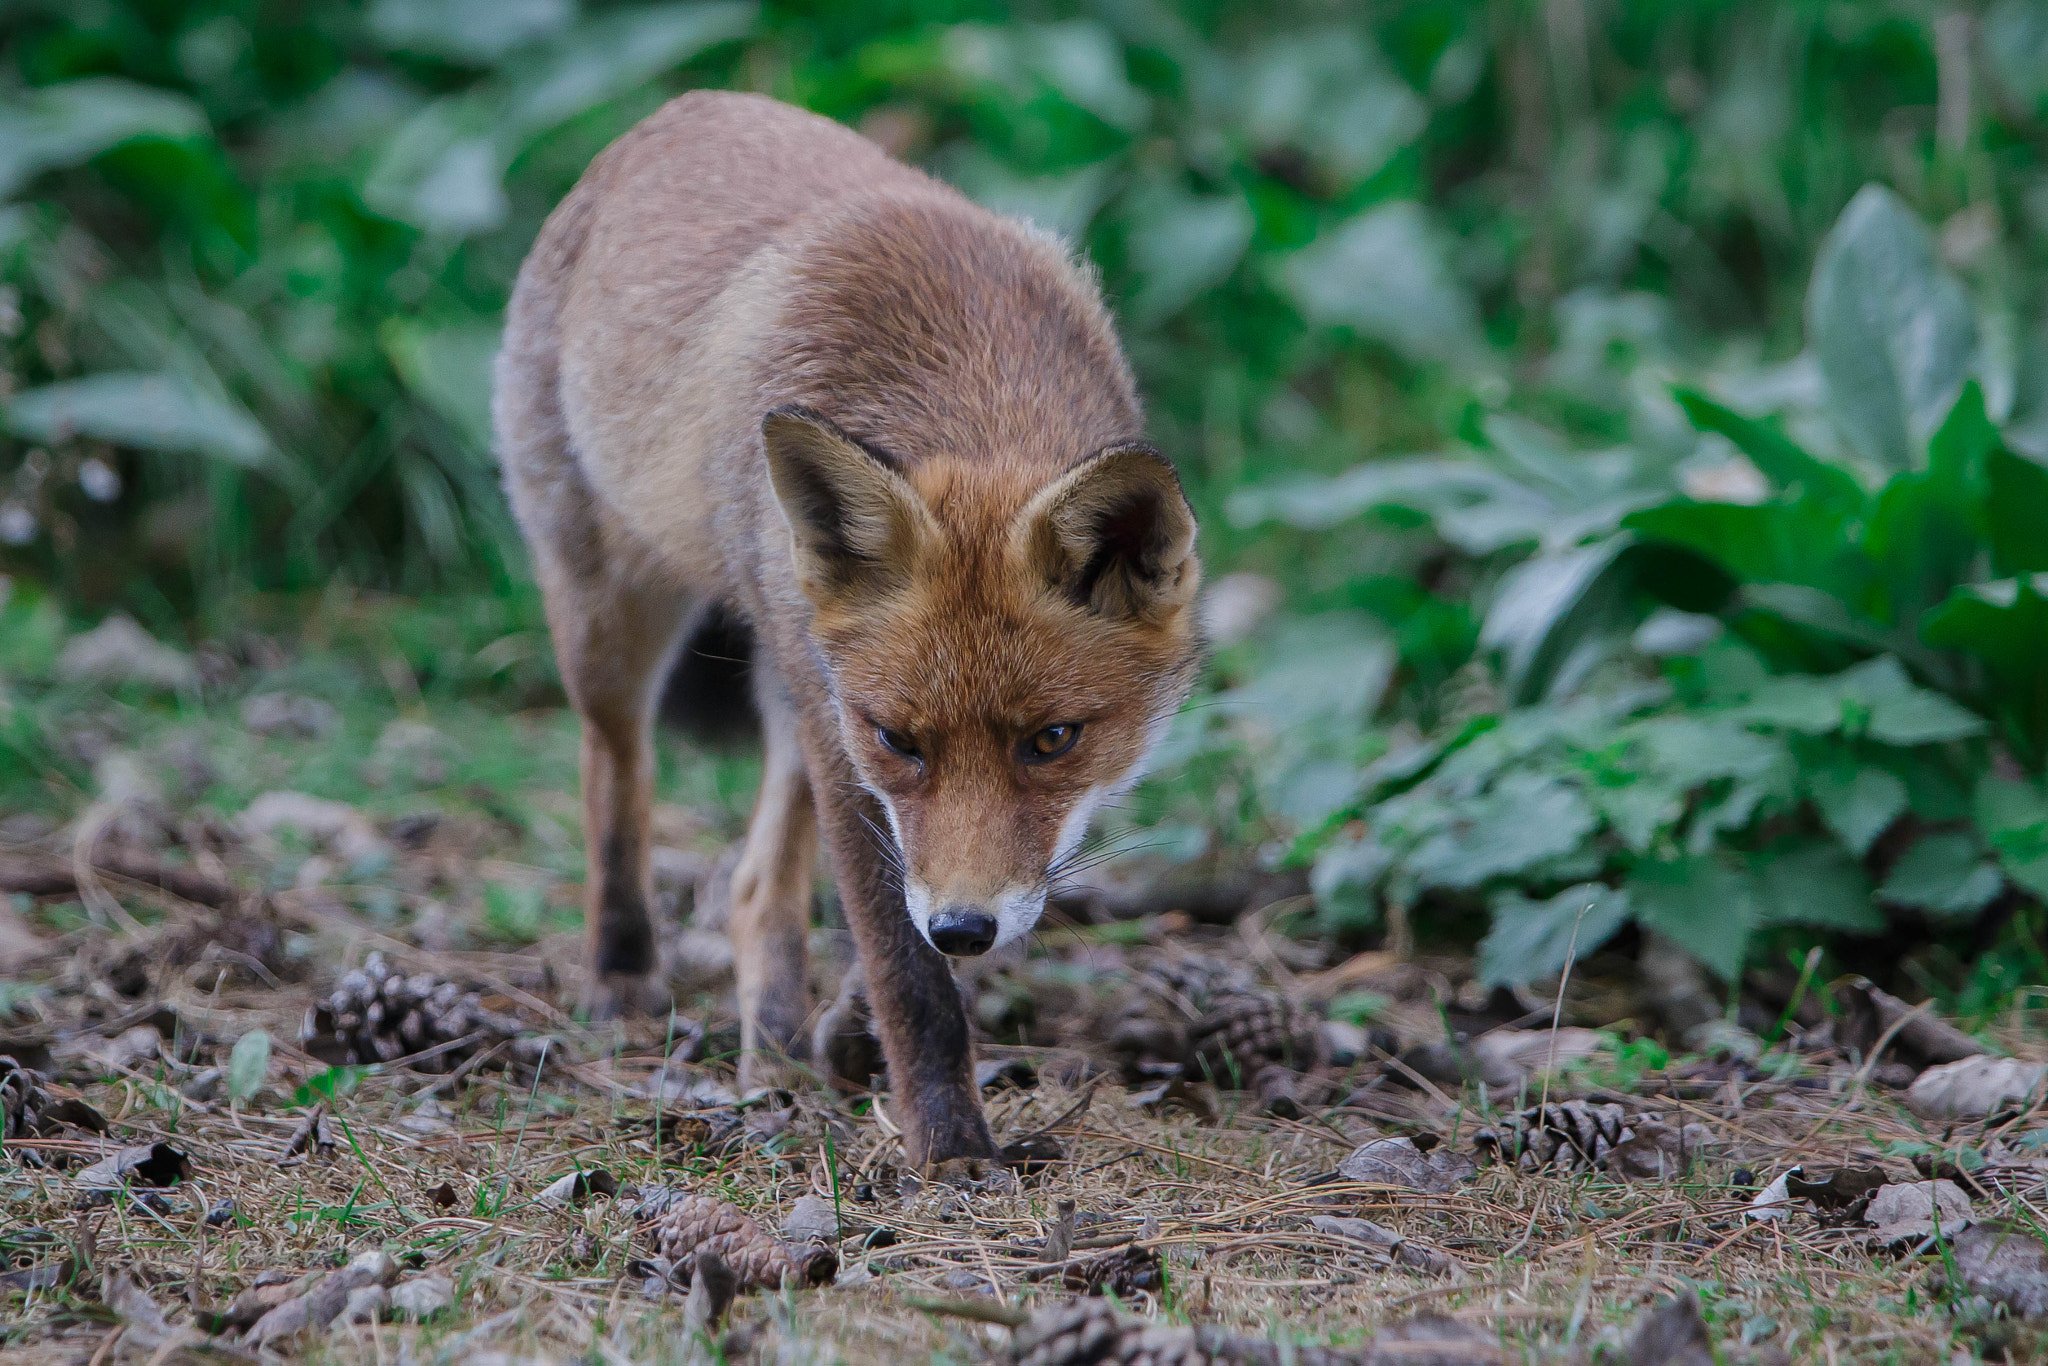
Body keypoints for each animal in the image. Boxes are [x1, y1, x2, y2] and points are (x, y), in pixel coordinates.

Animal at [495, 90, 1196, 1171]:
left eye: (1052, 740)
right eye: (900, 738)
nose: (964, 929)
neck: (967, 377)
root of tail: (683, 107)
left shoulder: (852, 747)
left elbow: (902, 919)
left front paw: (855, 1034)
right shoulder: (851, 749)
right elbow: (909, 976)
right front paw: (950, 1146)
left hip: (791, 678)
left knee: (753, 887)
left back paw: (780, 1036)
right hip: (614, 614)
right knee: (614, 769)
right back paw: (621, 970)